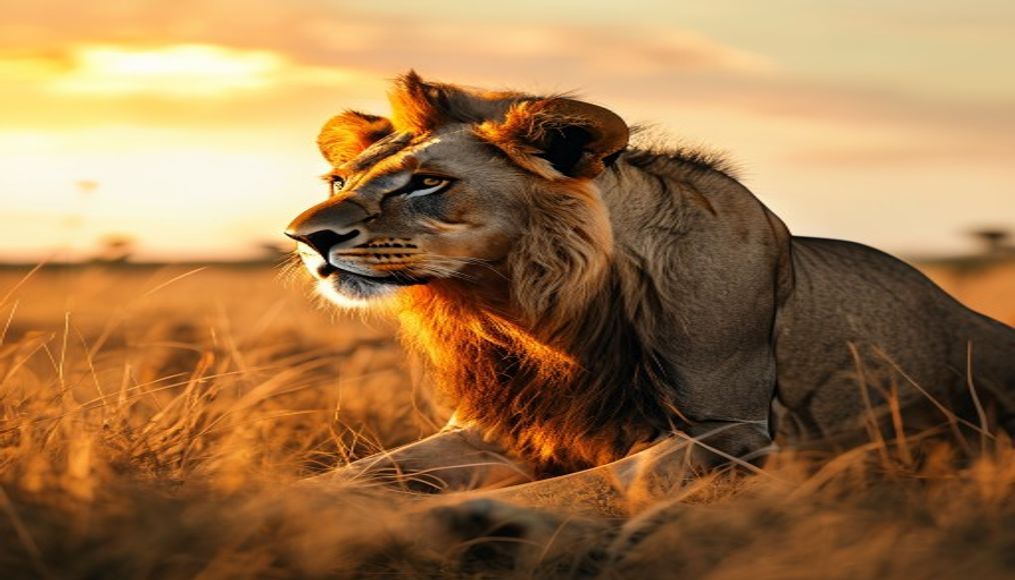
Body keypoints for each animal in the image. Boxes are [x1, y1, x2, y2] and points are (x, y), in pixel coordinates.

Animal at [286, 71, 1015, 510]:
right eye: (338, 181)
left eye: (427, 182)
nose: (303, 237)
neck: (526, 309)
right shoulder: (497, 432)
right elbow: (351, 475)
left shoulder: (734, 428)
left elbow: (606, 480)